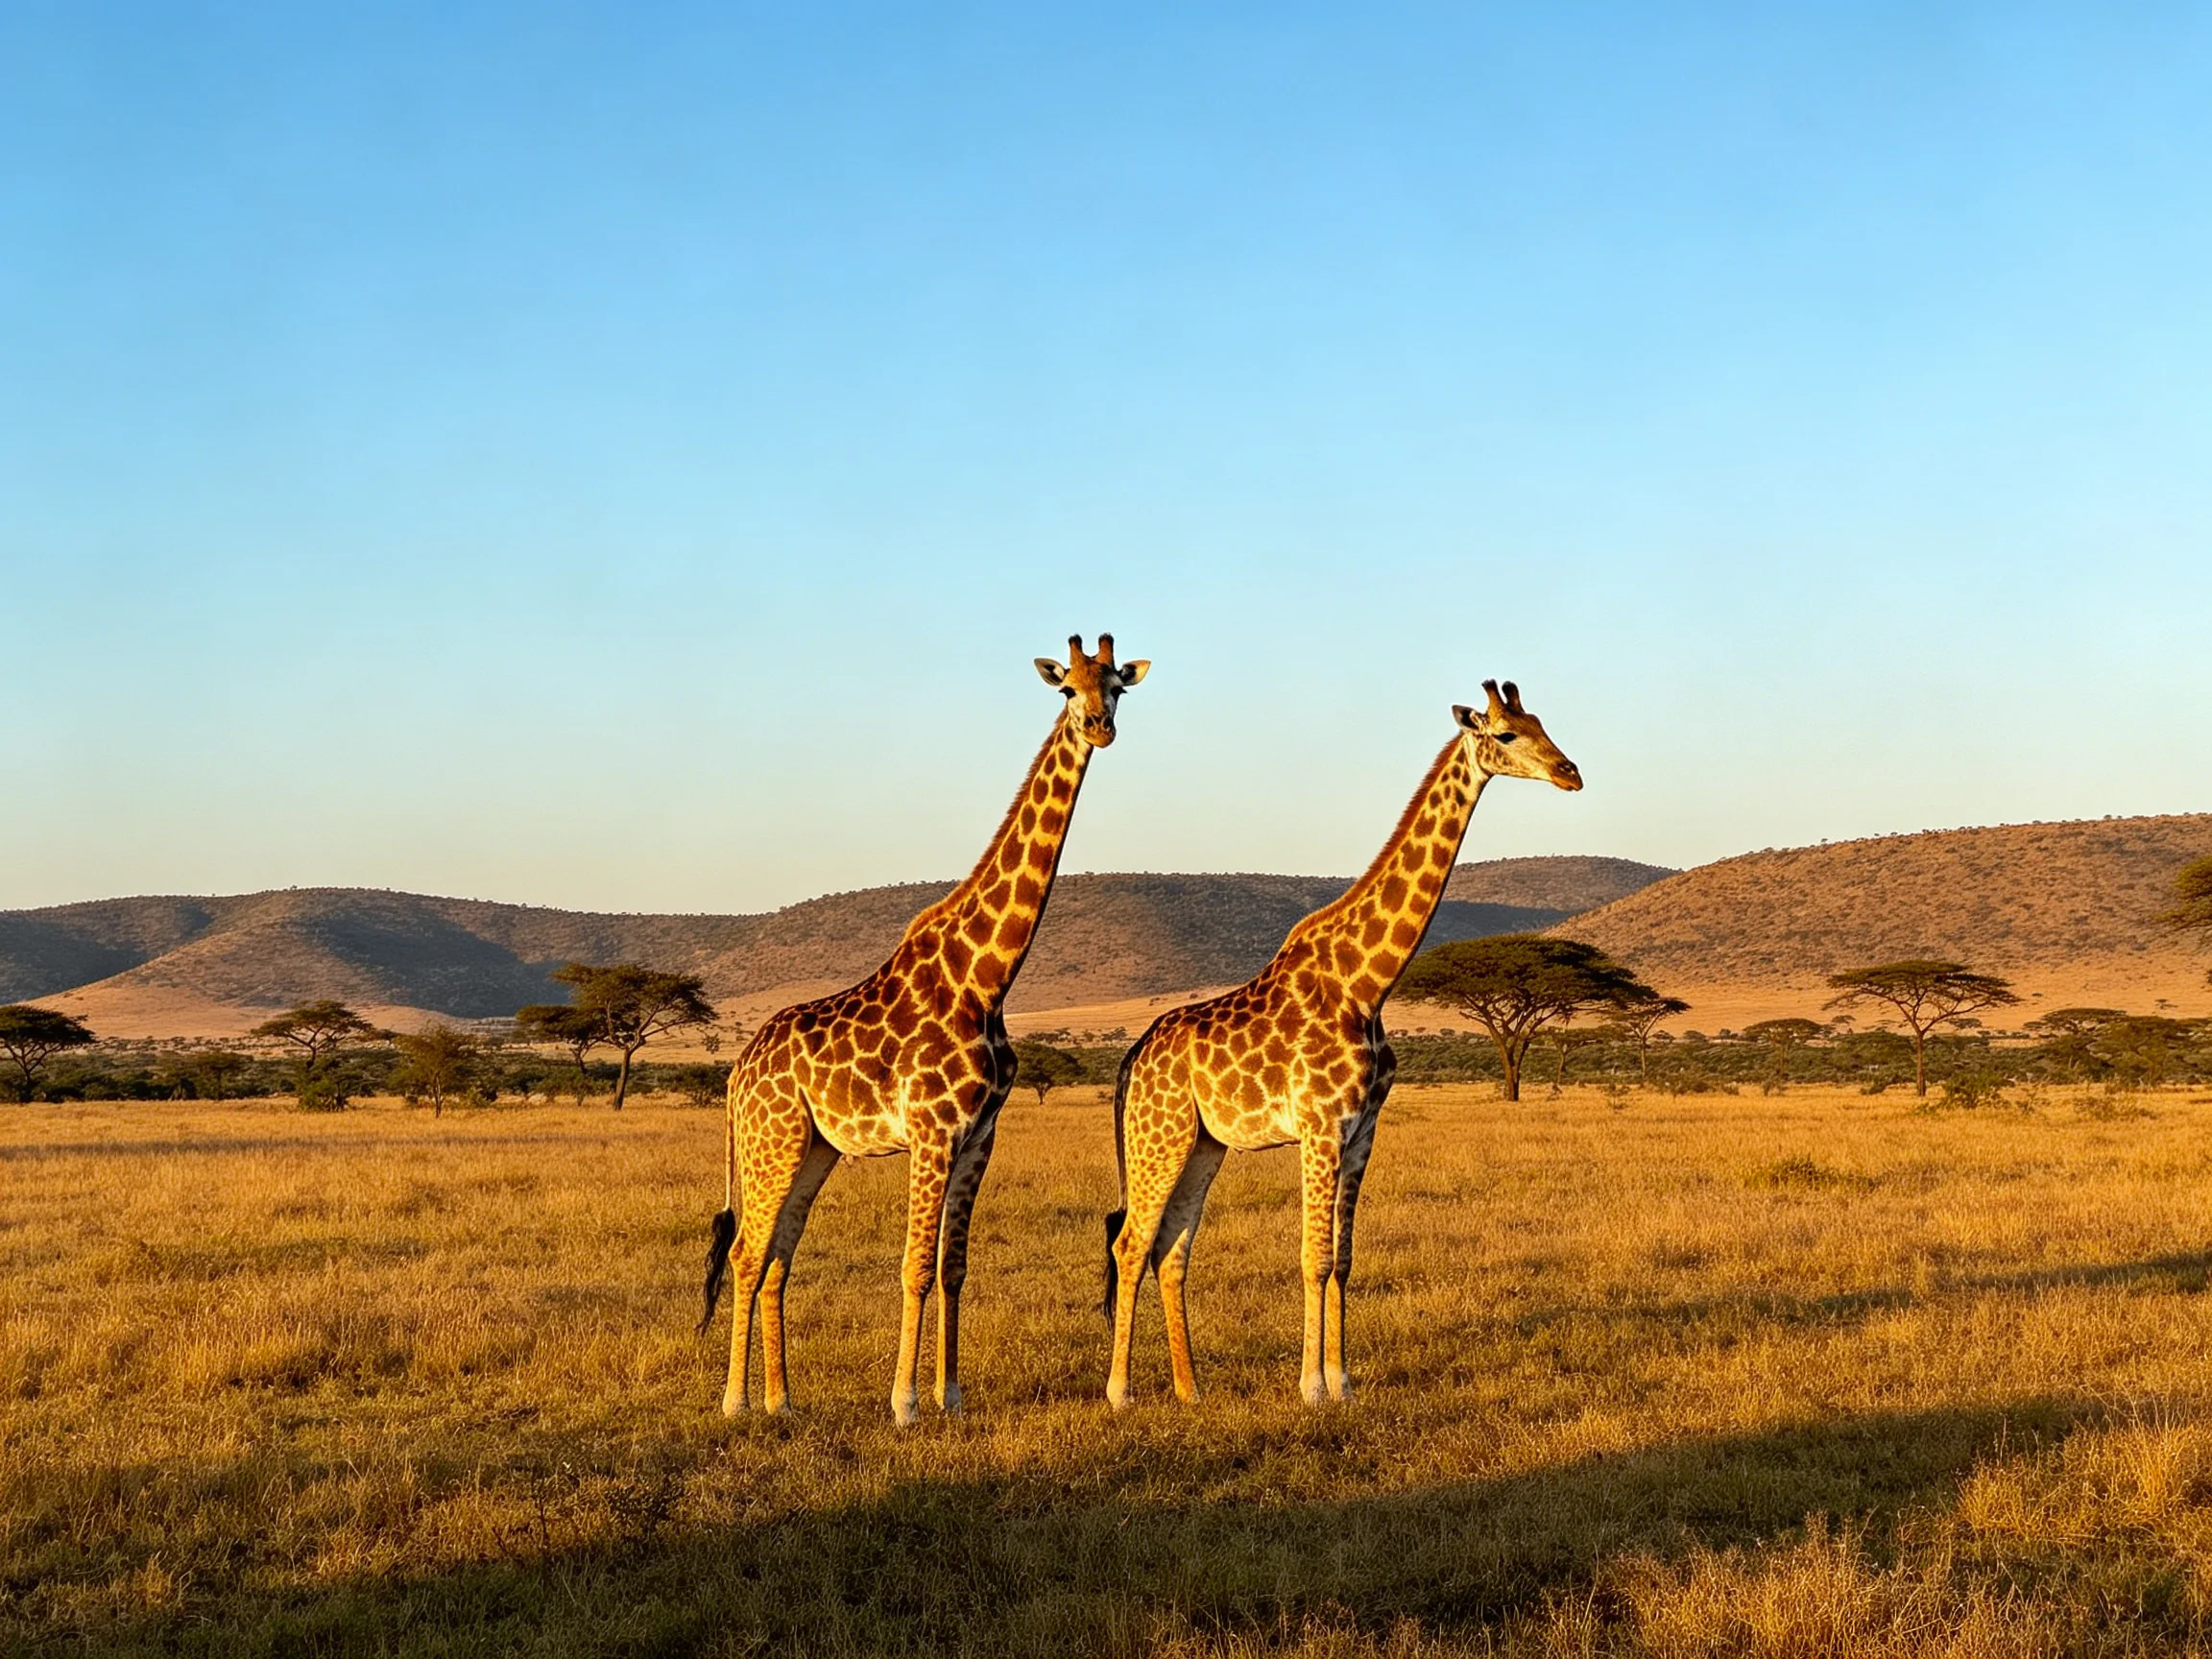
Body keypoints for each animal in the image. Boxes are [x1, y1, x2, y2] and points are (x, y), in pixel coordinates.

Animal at [702, 635, 1148, 1425]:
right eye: (1067, 688)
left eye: (1118, 686)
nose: (1100, 727)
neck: (986, 977)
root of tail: (736, 1075)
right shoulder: (933, 1130)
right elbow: (913, 1267)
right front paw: (905, 1403)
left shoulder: (980, 1136)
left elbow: (954, 1266)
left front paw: (952, 1396)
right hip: (771, 1141)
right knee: (747, 1255)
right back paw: (735, 1401)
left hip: (814, 1149)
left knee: (780, 1256)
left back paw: (782, 1401)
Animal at [1103, 679, 1580, 1409]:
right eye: (1506, 734)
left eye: (1542, 723)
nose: (1570, 772)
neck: (1367, 983)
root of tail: (1133, 1061)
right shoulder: (1320, 1125)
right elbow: (1313, 1257)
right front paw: (1311, 1387)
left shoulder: (1362, 1132)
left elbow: (1345, 1261)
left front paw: (1345, 1381)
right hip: (1158, 1135)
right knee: (1131, 1243)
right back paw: (1121, 1392)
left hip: (1203, 1143)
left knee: (1171, 1248)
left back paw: (1191, 1390)